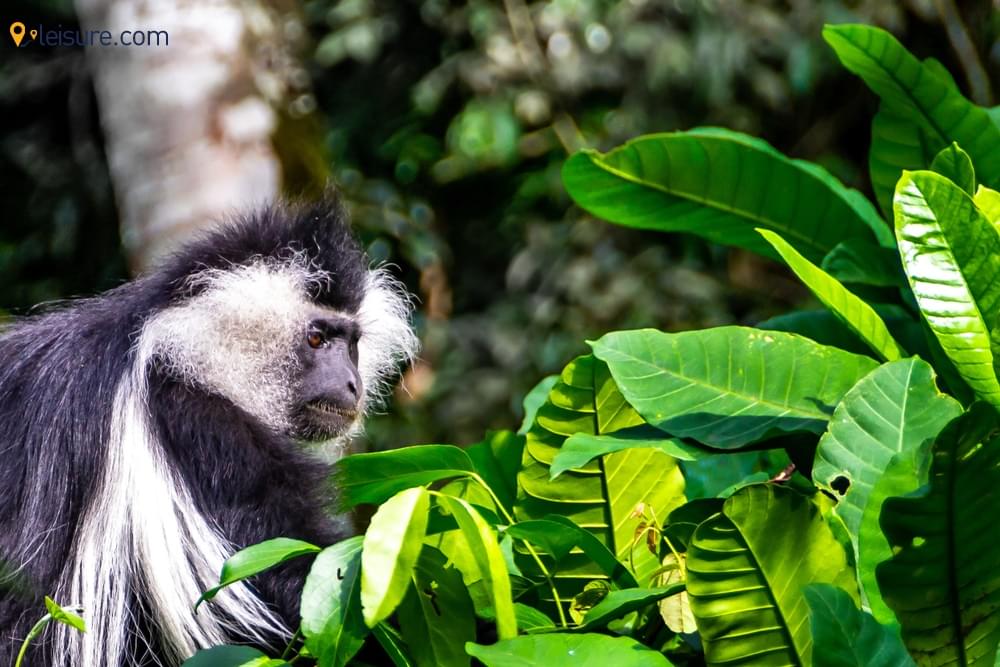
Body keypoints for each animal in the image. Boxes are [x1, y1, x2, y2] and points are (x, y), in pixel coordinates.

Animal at [0, 198, 418, 666]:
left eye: (351, 344)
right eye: (316, 339)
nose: (351, 383)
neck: (181, 353)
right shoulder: (206, 434)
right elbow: (283, 570)